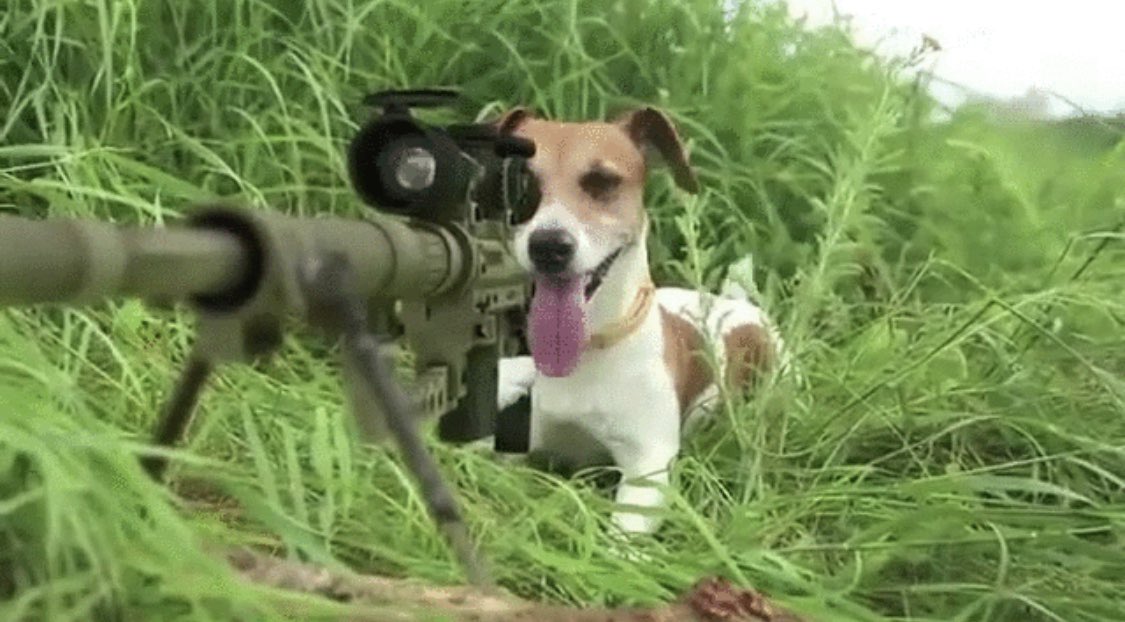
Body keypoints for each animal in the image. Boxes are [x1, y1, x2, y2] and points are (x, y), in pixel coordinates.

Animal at [488, 105, 787, 533]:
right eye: (519, 184)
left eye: (603, 181)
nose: (548, 246)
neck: (589, 350)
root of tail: (739, 306)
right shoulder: (516, 448)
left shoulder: (647, 469)